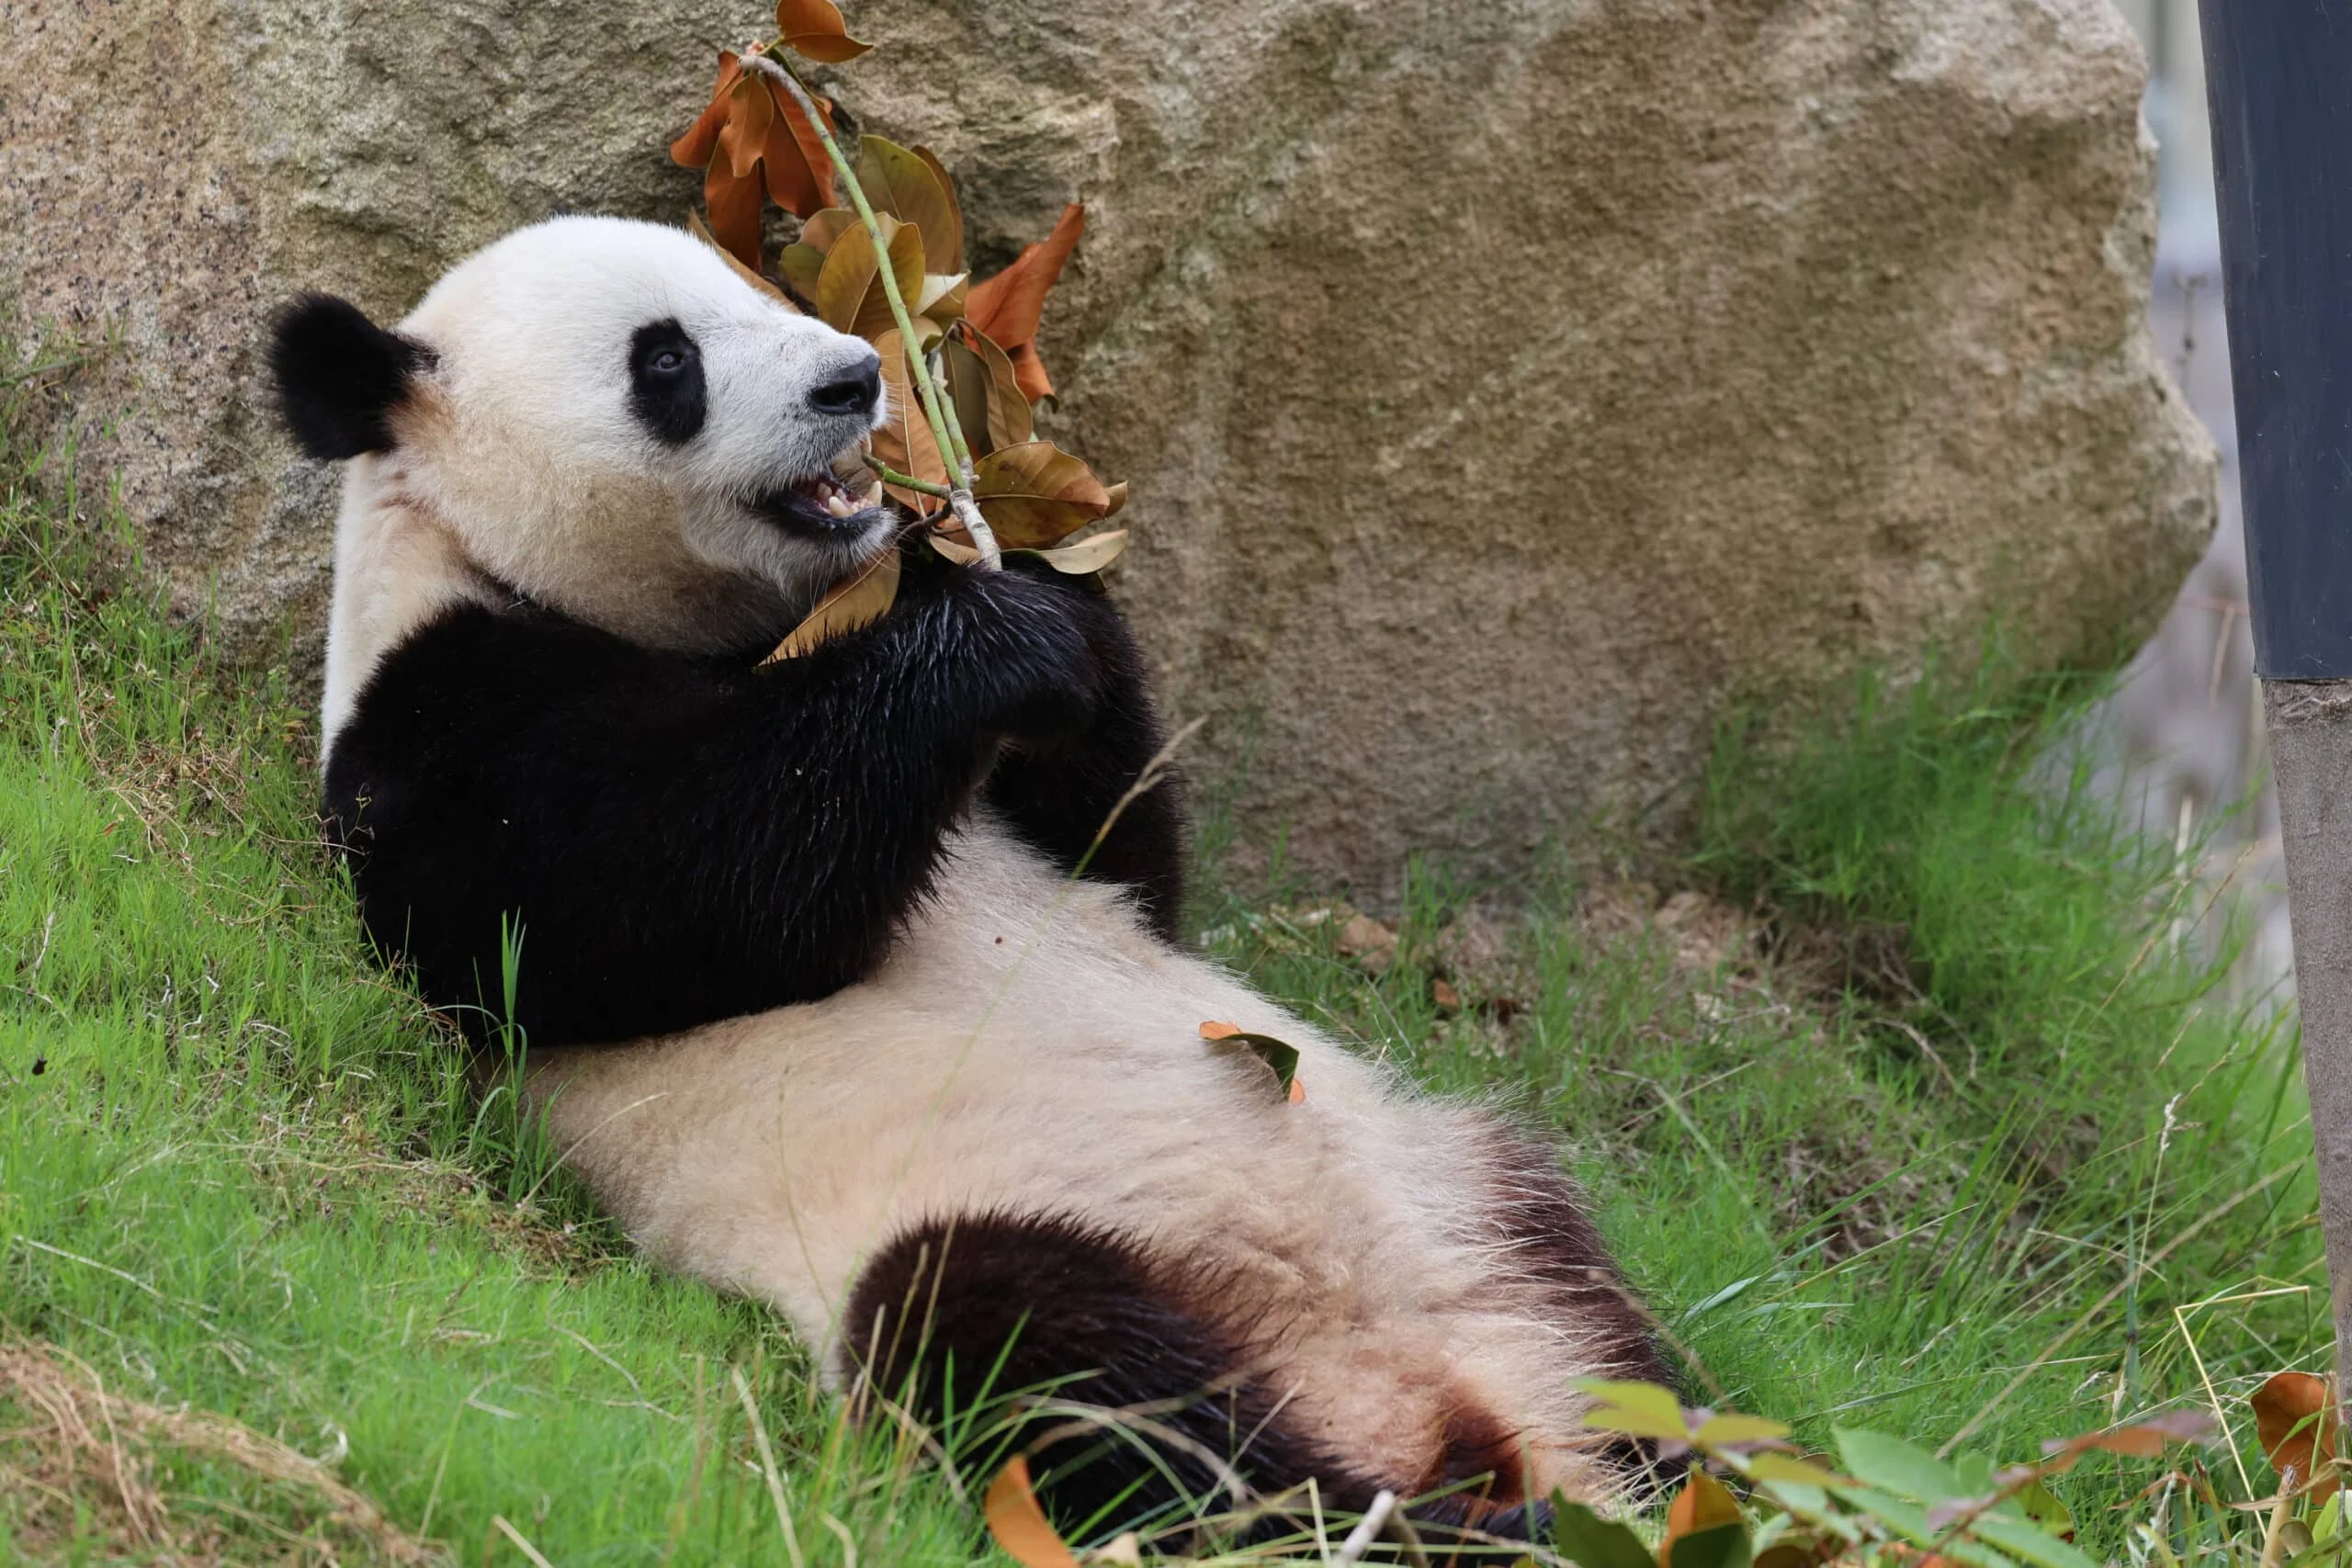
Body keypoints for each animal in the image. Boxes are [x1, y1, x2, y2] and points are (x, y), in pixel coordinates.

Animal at [270, 214, 1672, 1542]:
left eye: (757, 292)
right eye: (665, 360)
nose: (852, 377)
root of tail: (1419, 1396)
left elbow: (1130, 866)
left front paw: (1022, 557)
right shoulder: (437, 726)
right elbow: (647, 897)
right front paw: (994, 638)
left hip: (1450, 1191)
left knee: (1592, 1299)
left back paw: (1662, 1485)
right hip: (1003, 1227)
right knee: (1040, 1360)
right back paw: (1431, 1524)